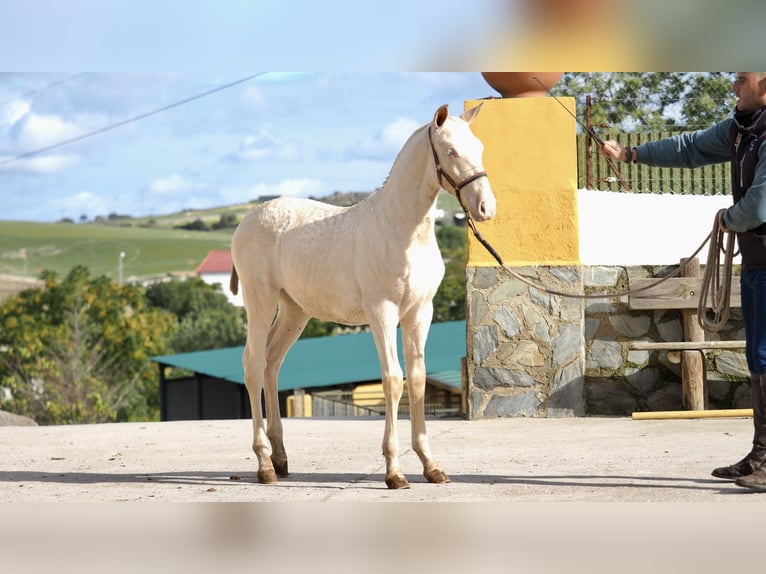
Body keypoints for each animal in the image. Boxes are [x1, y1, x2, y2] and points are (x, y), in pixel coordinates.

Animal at [231, 104, 496, 490]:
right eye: (450, 151)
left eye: (479, 148)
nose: (486, 208)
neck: (402, 229)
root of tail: (246, 221)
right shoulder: (382, 313)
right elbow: (393, 380)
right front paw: (394, 471)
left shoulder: (420, 312)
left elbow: (417, 379)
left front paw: (431, 466)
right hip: (260, 302)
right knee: (252, 365)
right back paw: (264, 464)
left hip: (294, 311)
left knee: (271, 363)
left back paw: (280, 459)